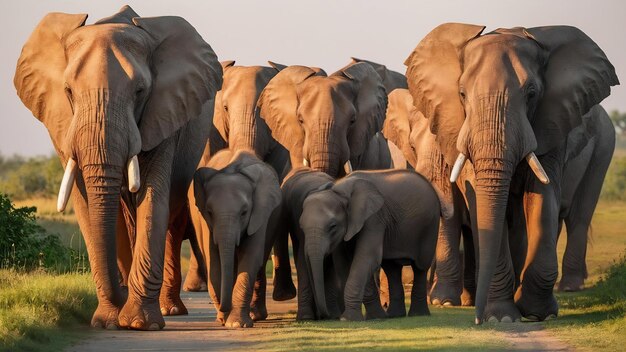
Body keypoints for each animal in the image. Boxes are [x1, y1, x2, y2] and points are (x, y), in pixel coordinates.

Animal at [12, 5, 223, 330]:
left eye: (140, 91)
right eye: (68, 91)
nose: (120, 301)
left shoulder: (163, 113)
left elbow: (153, 198)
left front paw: (139, 324)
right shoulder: (61, 123)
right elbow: (85, 204)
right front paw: (108, 322)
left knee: (169, 217)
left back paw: (168, 310)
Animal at [190, 148, 278, 328]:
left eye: (244, 212)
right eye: (209, 212)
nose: (224, 308)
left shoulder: (260, 214)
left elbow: (251, 258)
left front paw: (237, 324)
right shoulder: (206, 223)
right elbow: (214, 260)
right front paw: (224, 319)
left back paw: (255, 315)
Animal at [298, 169, 448, 320]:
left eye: (332, 226)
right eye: (301, 227)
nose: (325, 316)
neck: (339, 191)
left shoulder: (374, 218)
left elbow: (367, 258)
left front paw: (348, 319)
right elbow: (345, 263)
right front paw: (375, 317)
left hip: (429, 227)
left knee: (420, 267)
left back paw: (418, 314)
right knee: (391, 268)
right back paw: (394, 315)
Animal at [402, 22, 616, 324]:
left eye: (531, 93)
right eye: (462, 94)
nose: (477, 319)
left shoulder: (551, 123)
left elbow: (542, 196)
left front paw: (538, 313)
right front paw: (501, 318)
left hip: (604, 147)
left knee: (578, 217)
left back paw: (567, 288)